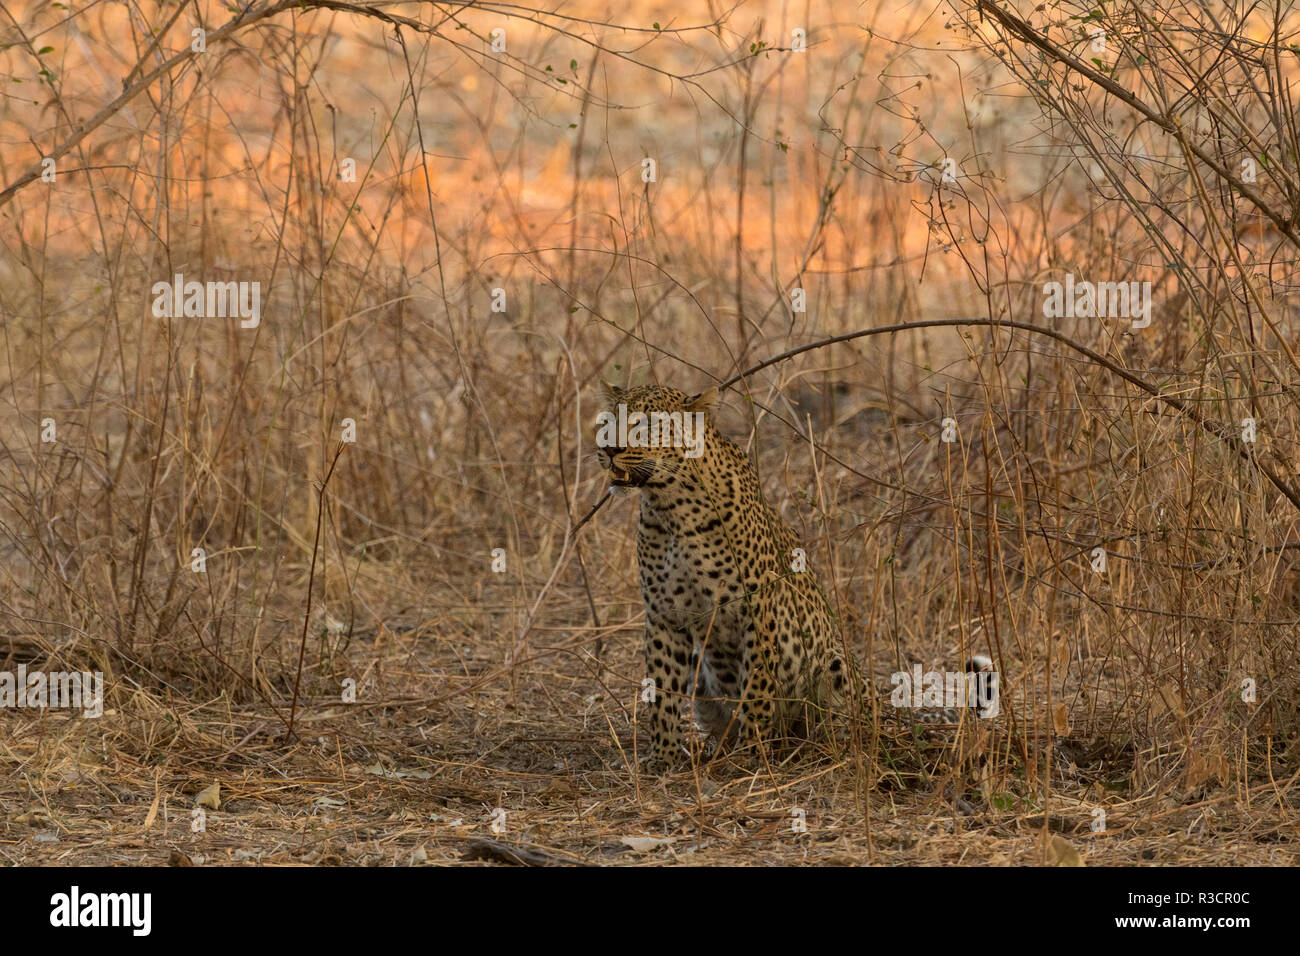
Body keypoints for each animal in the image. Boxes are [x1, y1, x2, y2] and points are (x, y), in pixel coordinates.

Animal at [593, 379, 994, 772]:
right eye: (610, 420)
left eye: (647, 424)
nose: (610, 449)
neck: (670, 507)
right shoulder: (665, 616)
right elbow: (662, 690)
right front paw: (663, 757)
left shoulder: (756, 609)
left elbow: (756, 686)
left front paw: (752, 755)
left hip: (834, 663)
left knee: (846, 723)